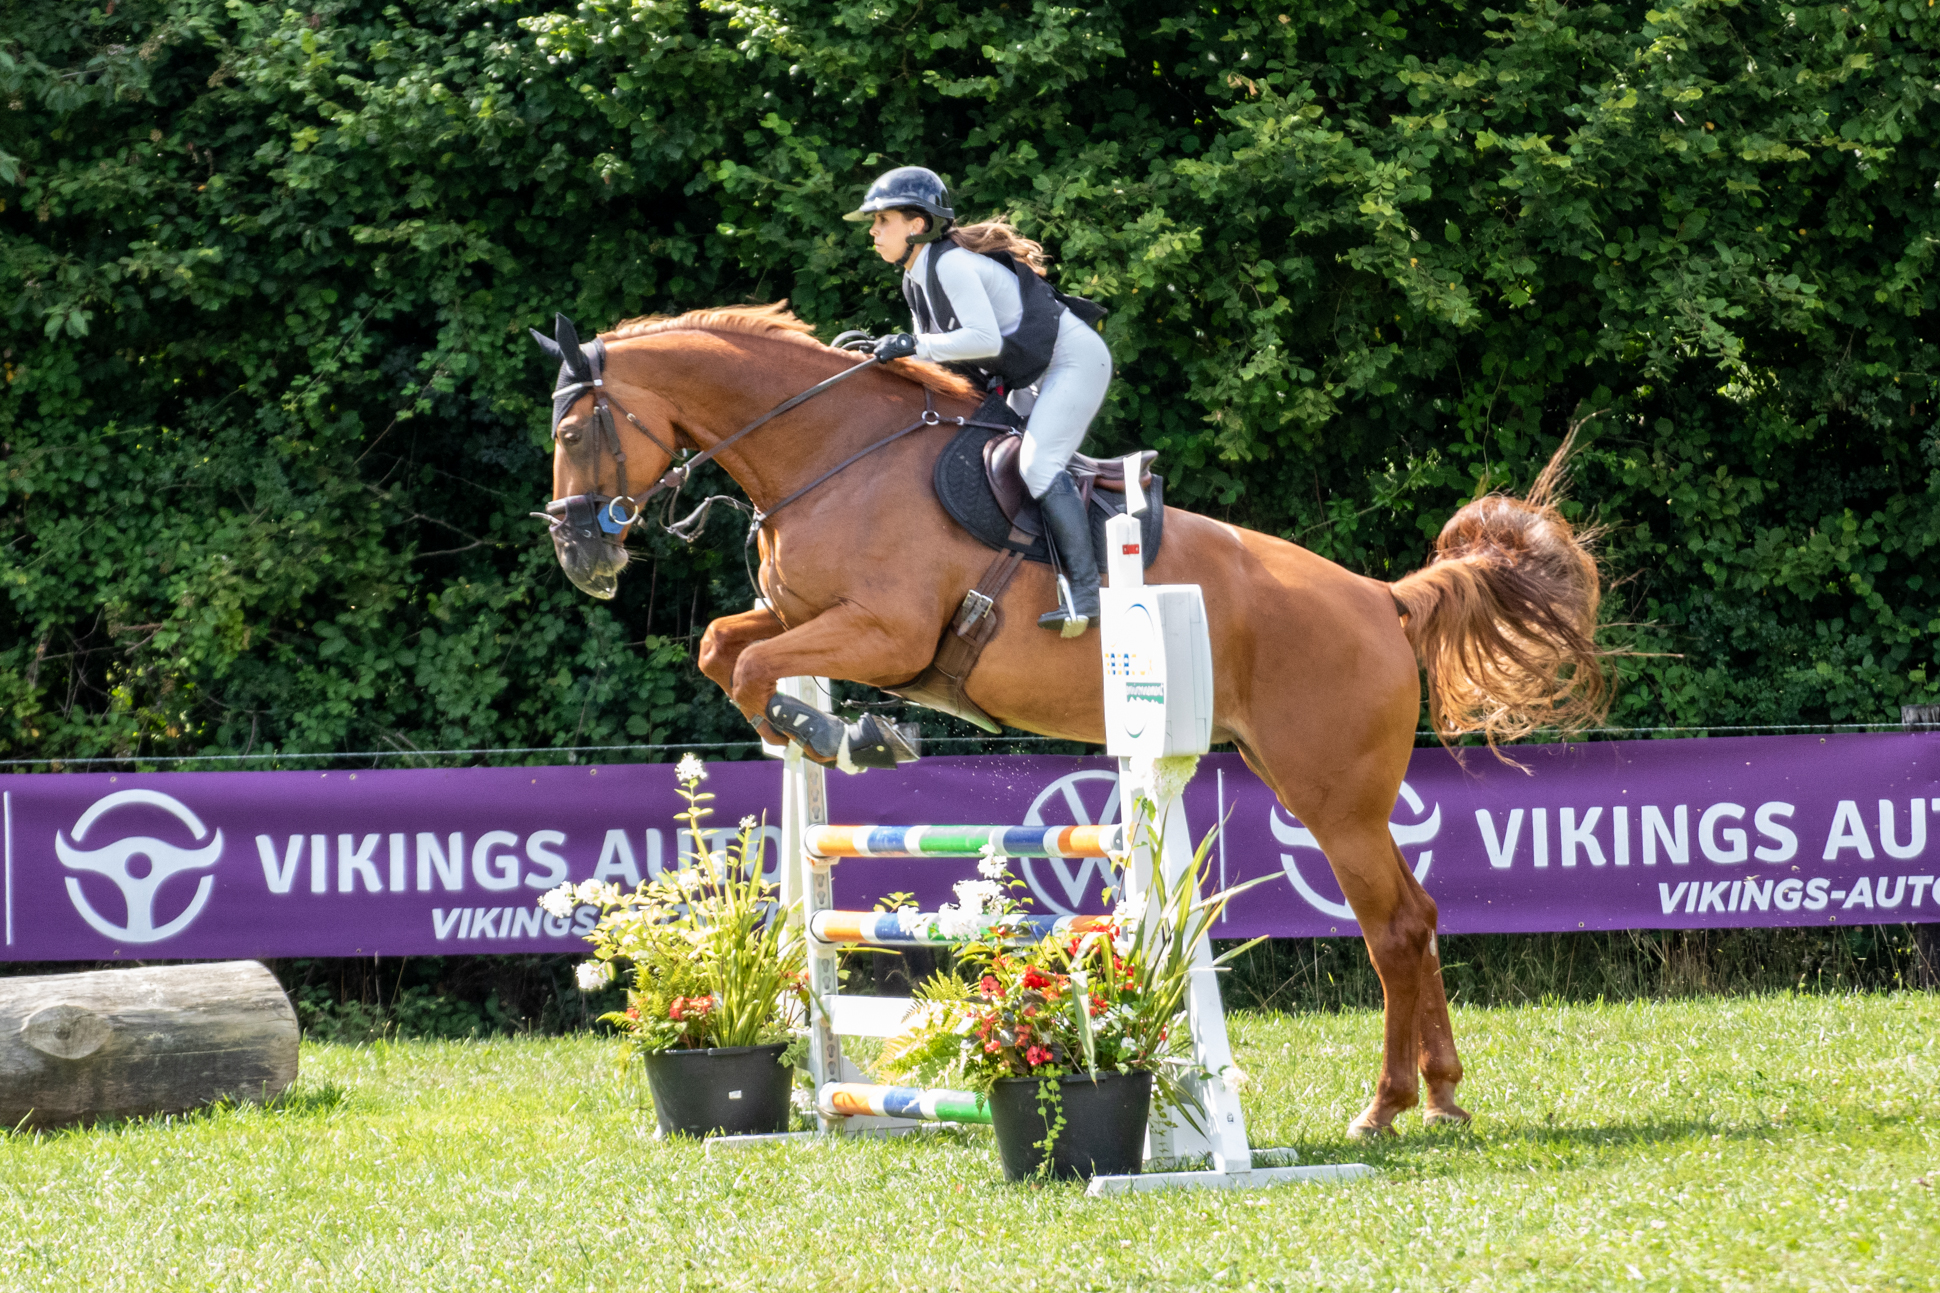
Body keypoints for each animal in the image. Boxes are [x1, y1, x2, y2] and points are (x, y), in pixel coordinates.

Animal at [535, 302, 1605, 1137]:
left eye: (576, 434)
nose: (580, 558)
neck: (831, 456)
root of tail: (1384, 598)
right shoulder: (806, 618)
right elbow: (726, 646)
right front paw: (821, 731)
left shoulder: (884, 632)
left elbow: (751, 662)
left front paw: (850, 735)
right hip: (1314, 783)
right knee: (1417, 918)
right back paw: (1443, 1096)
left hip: (1330, 796)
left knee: (1392, 927)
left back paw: (1384, 1107)